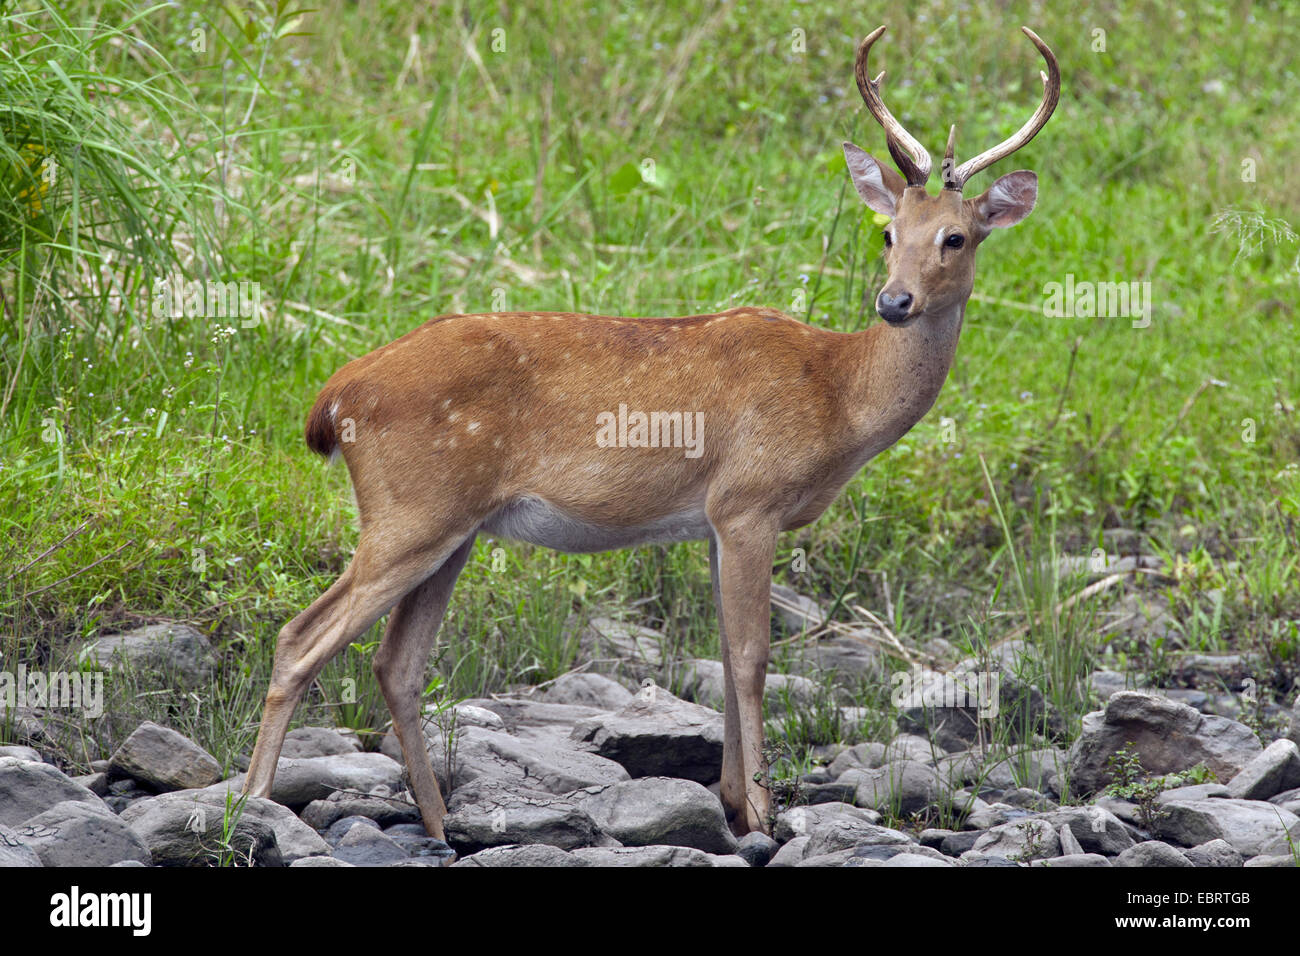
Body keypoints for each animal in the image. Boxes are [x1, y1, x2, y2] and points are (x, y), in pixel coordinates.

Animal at [241, 24, 1055, 837]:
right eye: (888, 232)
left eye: (955, 237)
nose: (894, 301)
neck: (839, 395)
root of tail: (334, 396)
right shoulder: (749, 499)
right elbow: (753, 656)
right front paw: (764, 814)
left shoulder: (715, 521)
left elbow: (724, 652)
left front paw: (734, 804)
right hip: (411, 510)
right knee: (300, 637)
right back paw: (255, 805)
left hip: (454, 527)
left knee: (396, 663)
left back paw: (438, 824)